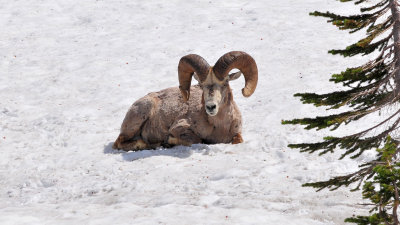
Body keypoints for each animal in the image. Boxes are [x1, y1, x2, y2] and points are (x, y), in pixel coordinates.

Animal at [112, 51, 258, 151]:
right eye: (201, 84)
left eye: (225, 82)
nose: (211, 107)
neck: (219, 126)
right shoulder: (179, 128)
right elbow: (198, 140)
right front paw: (169, 141)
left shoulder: (237, 134)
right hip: (140, 115)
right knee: (120, 142)